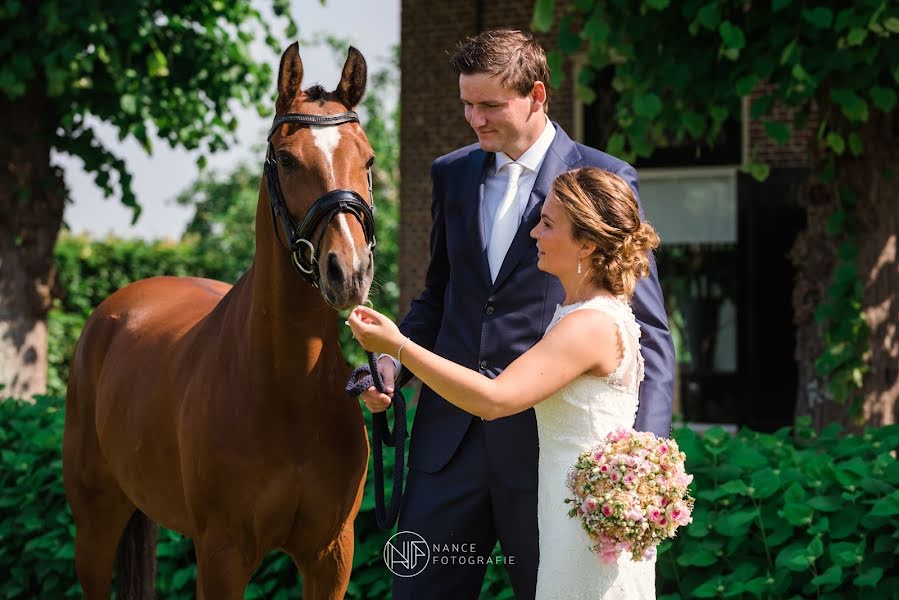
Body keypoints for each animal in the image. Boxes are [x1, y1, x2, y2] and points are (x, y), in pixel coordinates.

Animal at [62, 43, 372, 600]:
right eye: (287, 159)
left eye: (368, 159)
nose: (350, 270)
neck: (288, 387)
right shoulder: (223, 556)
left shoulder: (331, 556)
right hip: (94, 526)